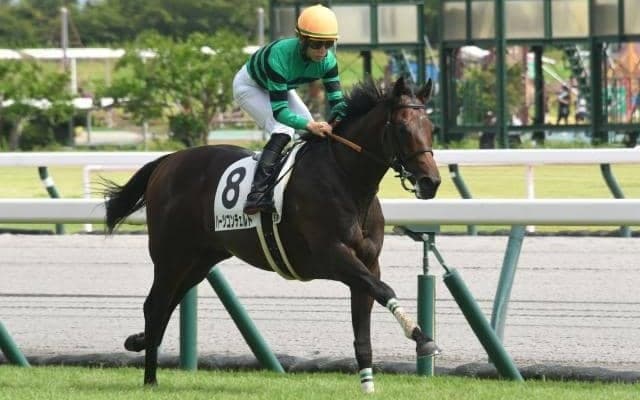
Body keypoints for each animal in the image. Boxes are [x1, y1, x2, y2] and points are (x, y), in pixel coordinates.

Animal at [103, 76, 442, 393]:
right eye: (402, 128)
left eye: (431, 127)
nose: (431, 182)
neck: (345, 178)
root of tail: (168, 160)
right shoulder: (333, 255)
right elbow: (384, 290)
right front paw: (423, 338)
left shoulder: (368, 263)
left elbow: (364, 329)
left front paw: (369, 386)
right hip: (170, 255)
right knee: (155, 306)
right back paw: (150, 379)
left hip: (200, 259)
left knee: (168, 304)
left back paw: (139, 342)